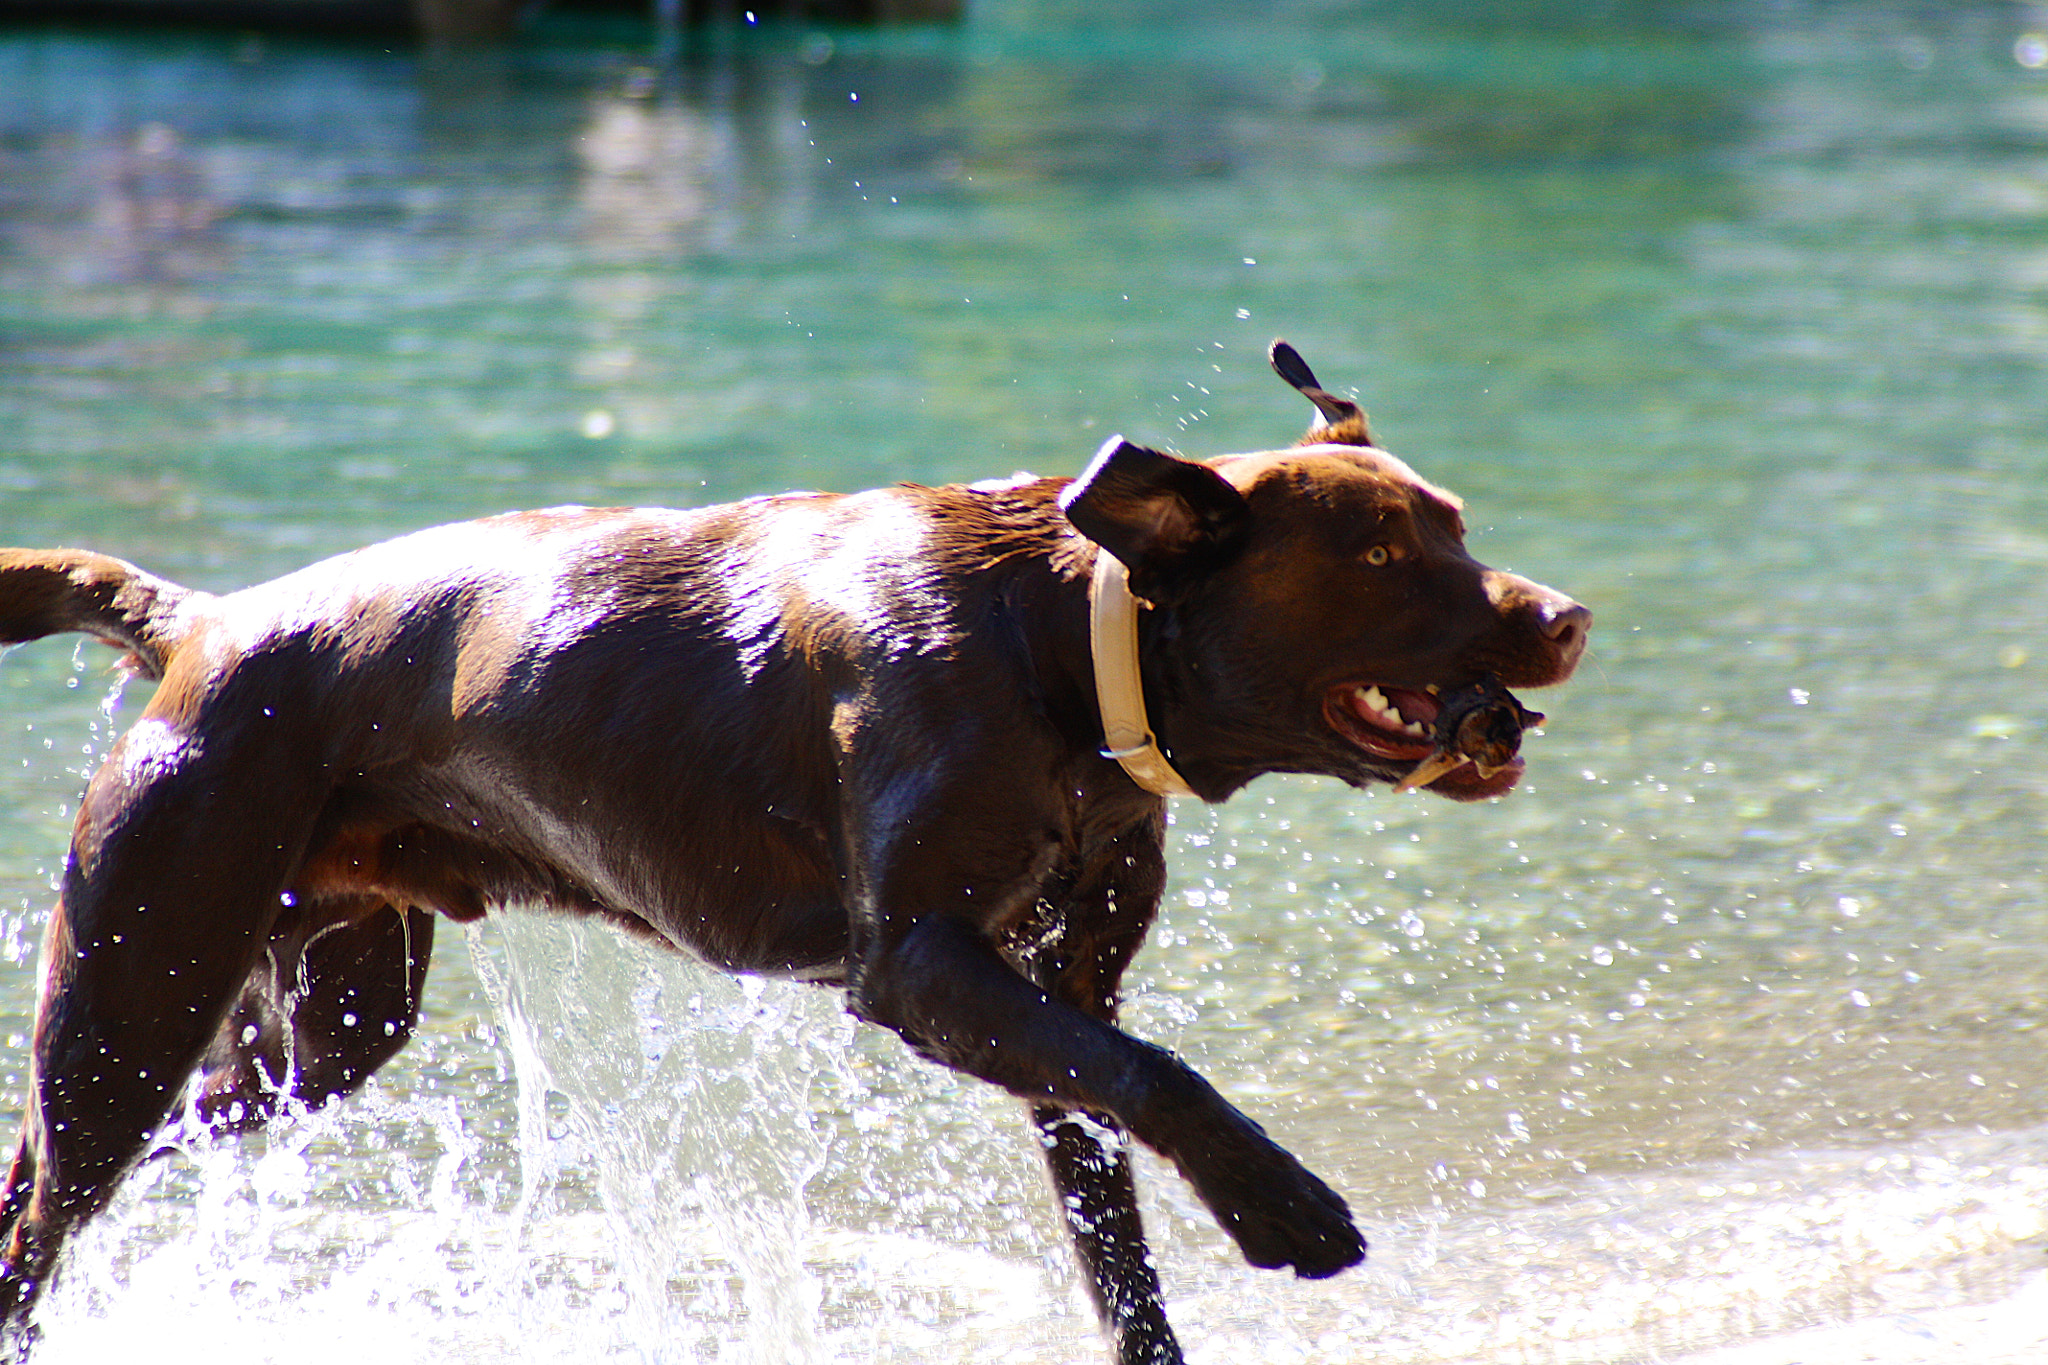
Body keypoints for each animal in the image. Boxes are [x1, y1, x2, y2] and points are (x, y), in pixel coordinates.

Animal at [0, 341, 1581, 1358]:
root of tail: (201, 625)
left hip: (313, 1035)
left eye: (1457, 527)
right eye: (1381, 555)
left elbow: (1118, 1229)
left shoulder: (1059, 995)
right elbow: (1161, 1076)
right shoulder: (926, 968)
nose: (1564, 615)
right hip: (135, 994)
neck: (1056, 652)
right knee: (41, 1210)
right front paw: (1283, 1207)